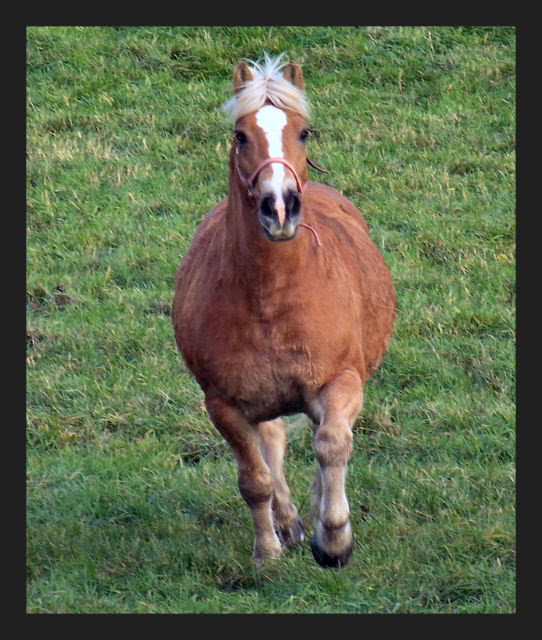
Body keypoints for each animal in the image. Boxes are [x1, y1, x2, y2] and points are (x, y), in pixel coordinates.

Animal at [173, 52, 396, 568]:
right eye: (241, 135)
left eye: (303, 132)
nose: (280, 207)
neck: (270, 299)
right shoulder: (224, 405)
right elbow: (255, 478)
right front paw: (268, 550)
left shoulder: (340, 381)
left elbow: (332, 445)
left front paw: (334, 540)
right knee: (271, 446)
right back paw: (288, 523)